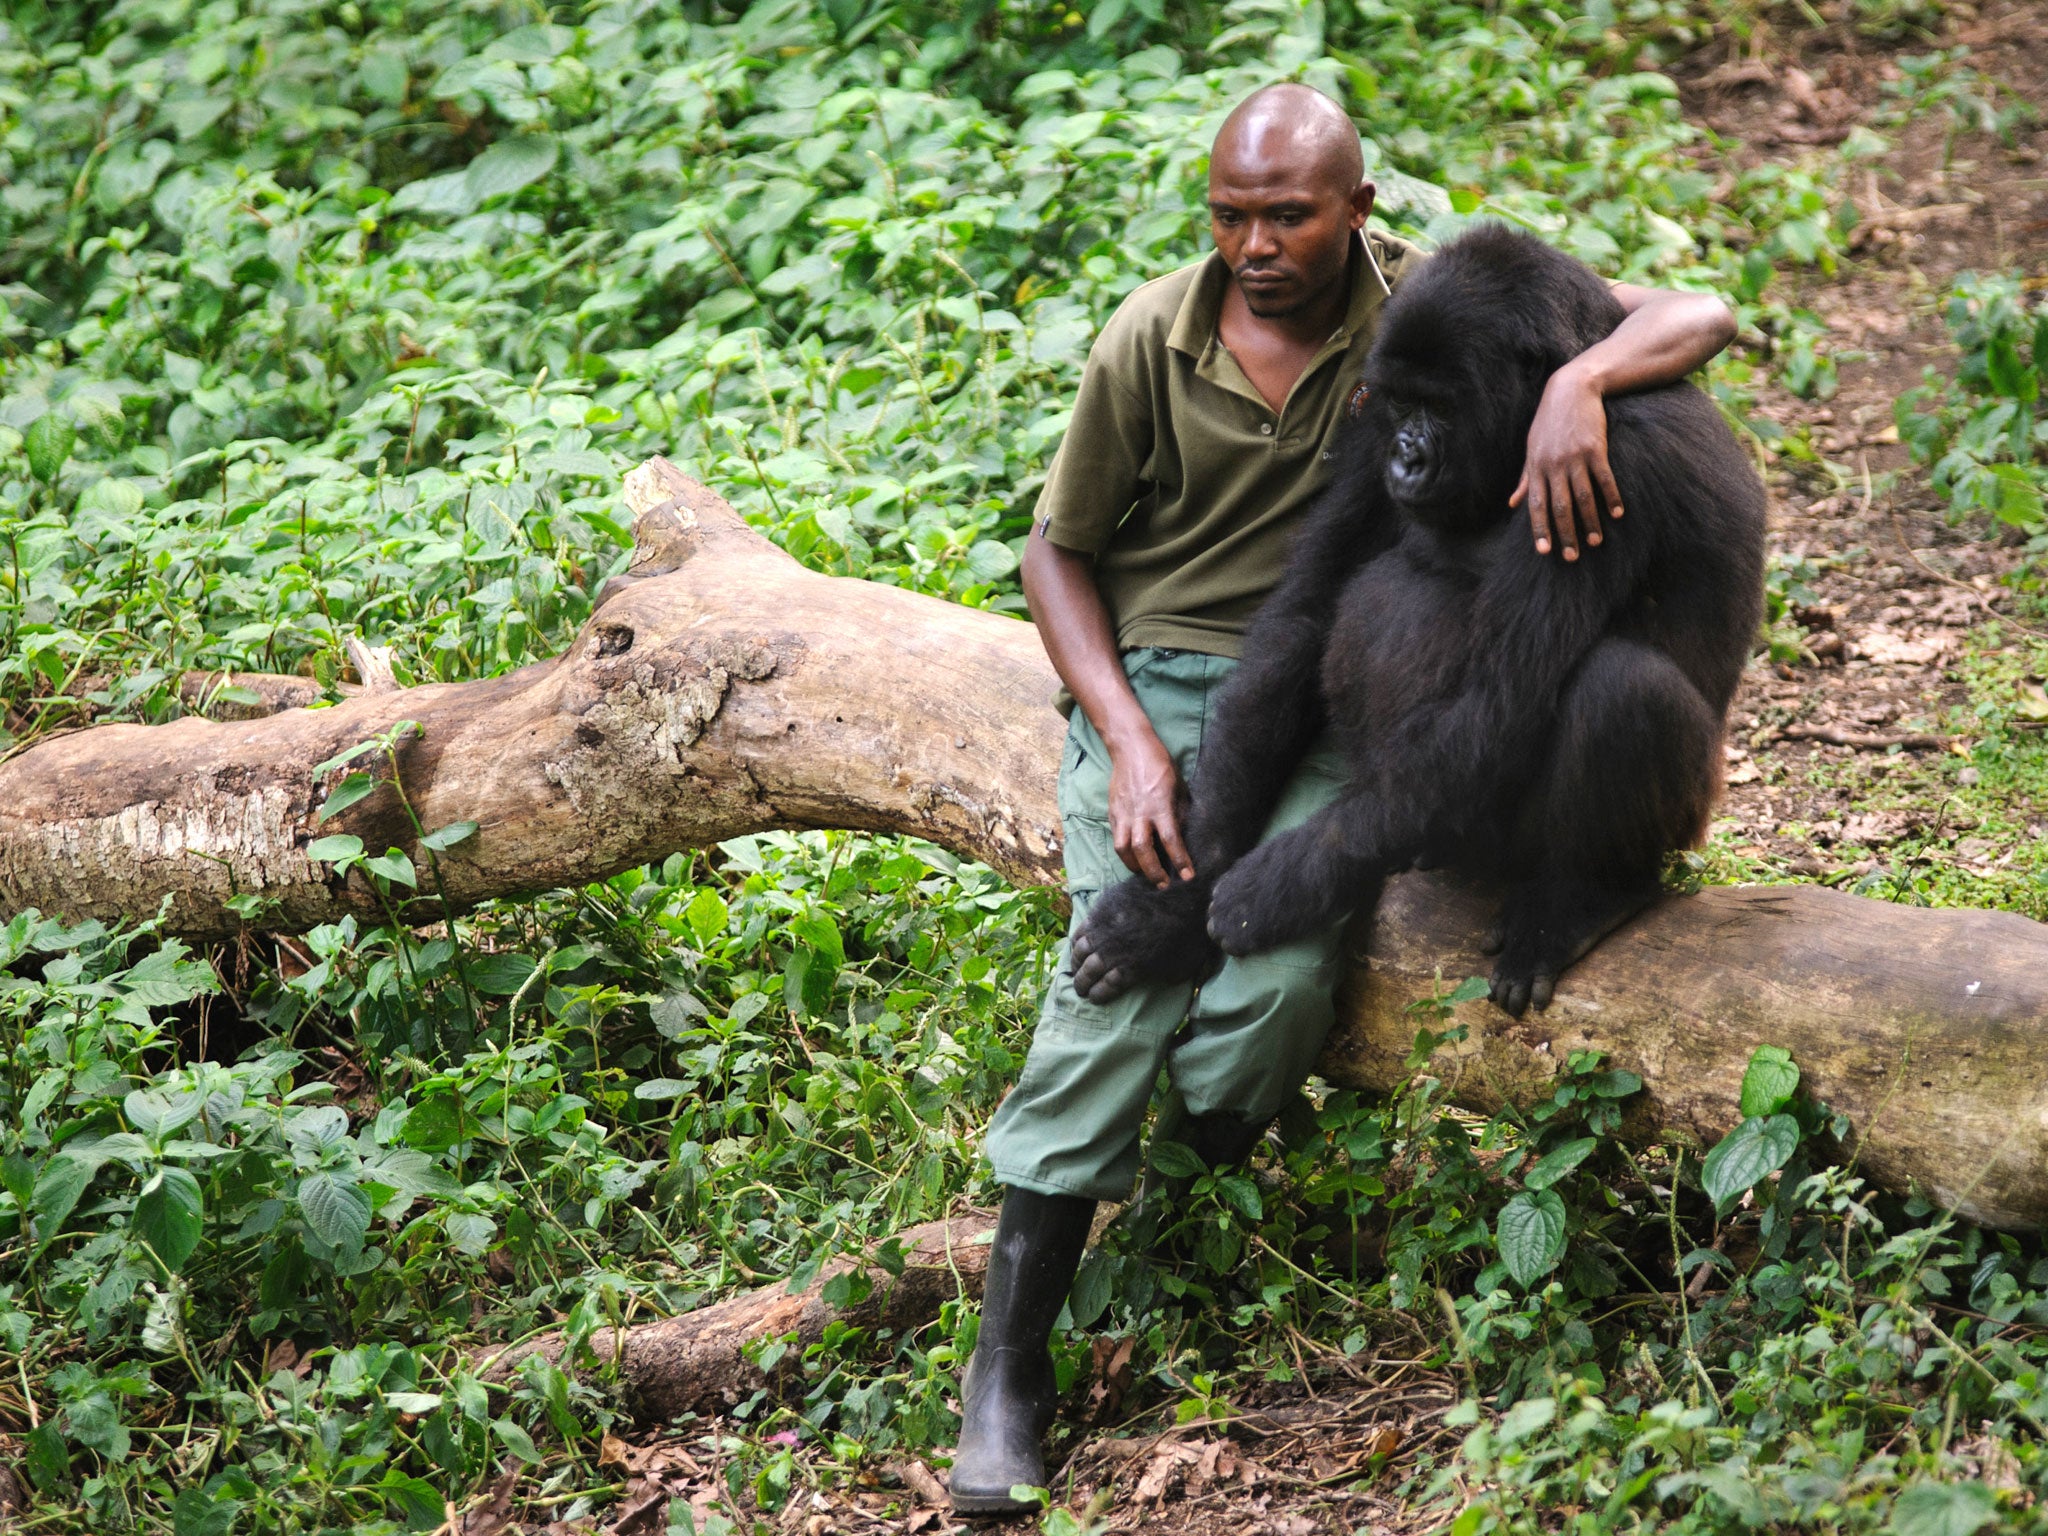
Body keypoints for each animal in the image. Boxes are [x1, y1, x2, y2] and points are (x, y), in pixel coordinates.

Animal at [1073, 225, 1761, 1024]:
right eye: (1403, 407)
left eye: (1441, 407)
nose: (1407, 457)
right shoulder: (1368, 414)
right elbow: (1307, 614)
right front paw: (1173, 901)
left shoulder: (1602, 452)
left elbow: (1497, 696)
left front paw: (1272, 889)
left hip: (1670, 825)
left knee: (1622, 686)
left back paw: (1587, 895)